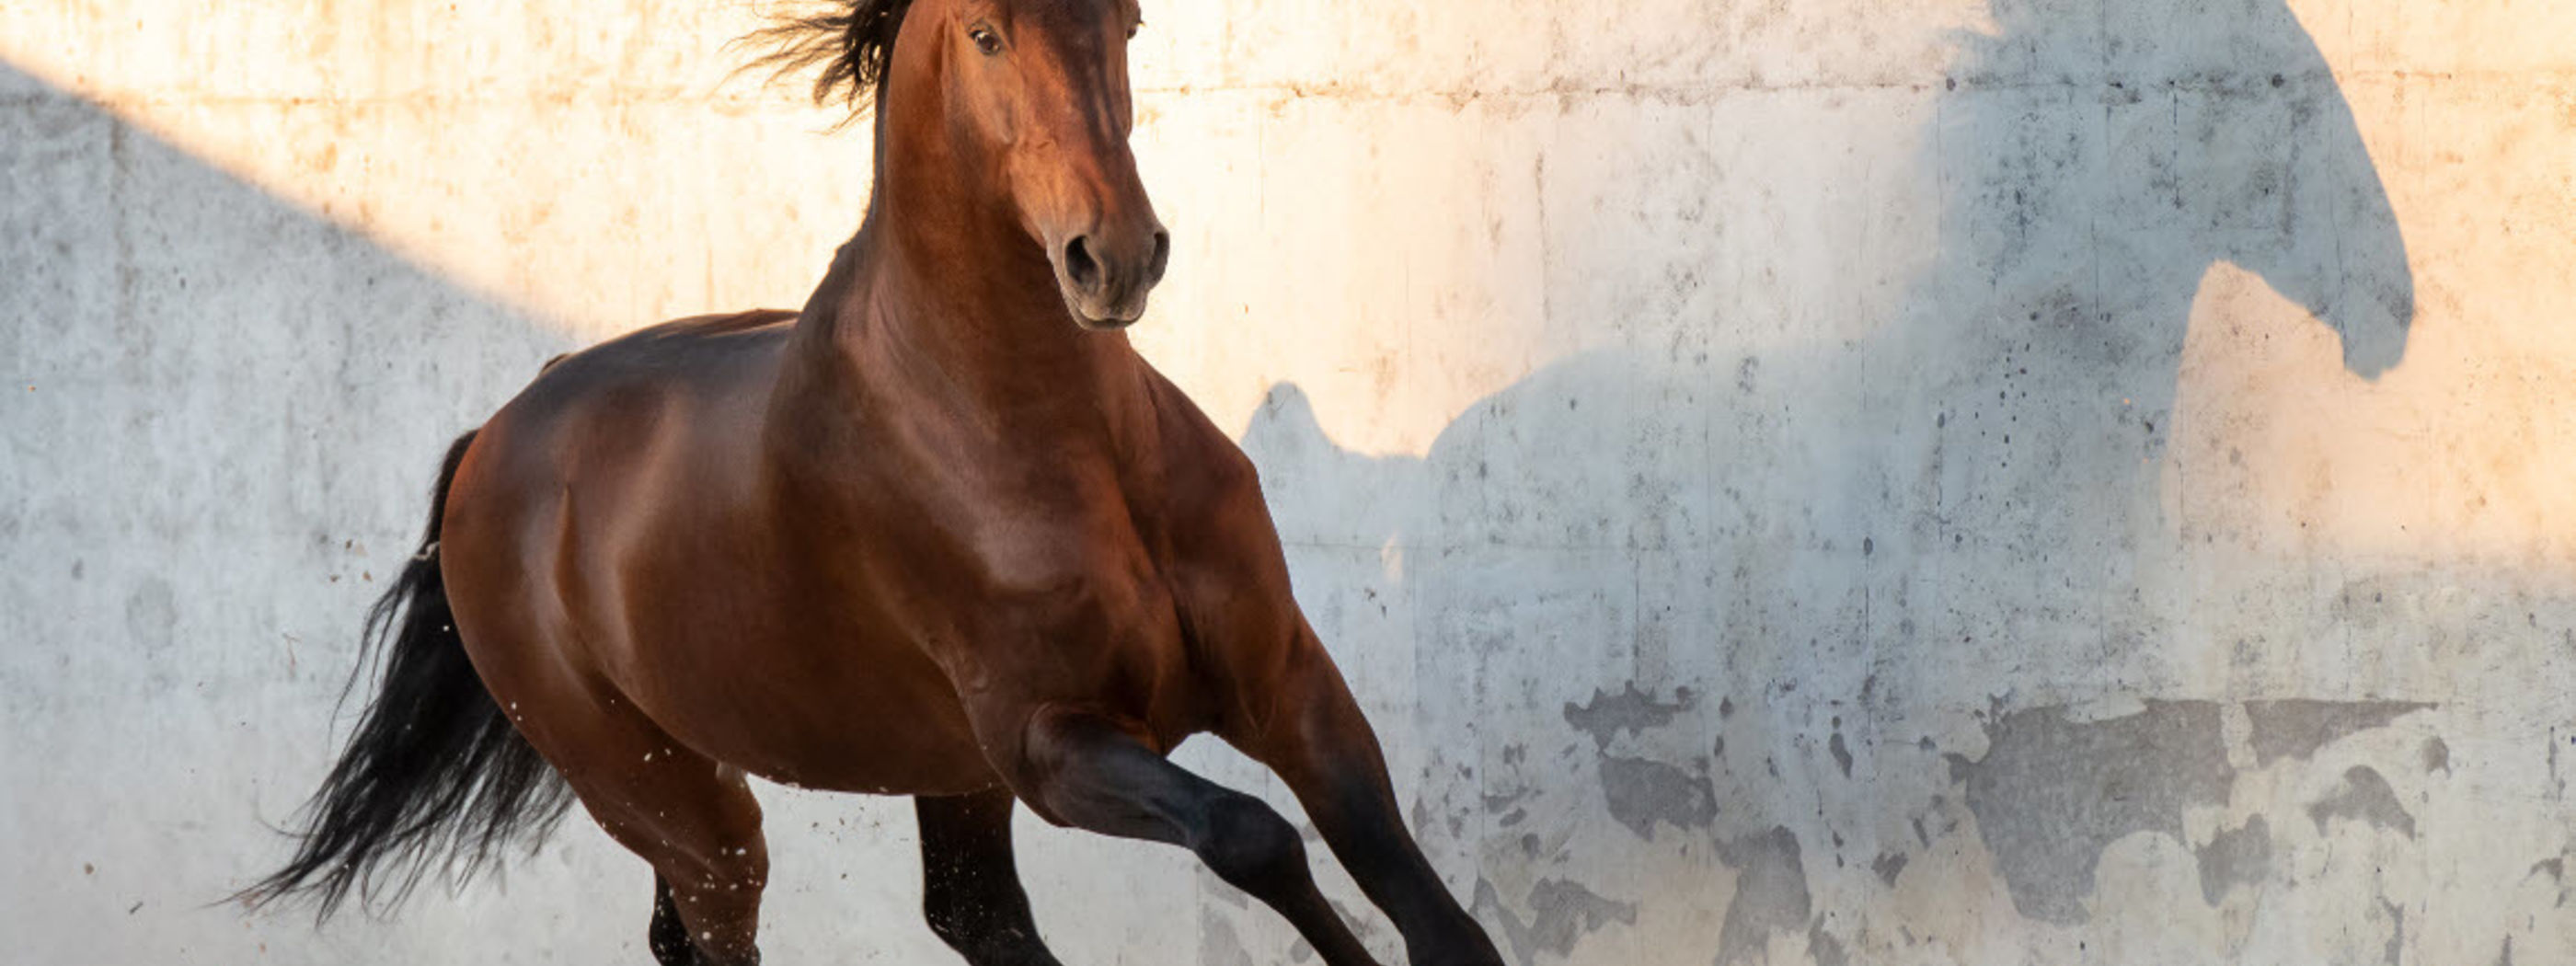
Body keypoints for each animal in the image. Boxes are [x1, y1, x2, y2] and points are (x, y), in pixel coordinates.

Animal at [236, 2, 1504, 966]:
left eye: (1129, 20)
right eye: (987, 34)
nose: (1114, 257)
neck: (1064, 441)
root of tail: (494, 441)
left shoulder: (1285, 680)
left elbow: (1413, 891)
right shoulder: (1053, 745)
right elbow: (1252, 837)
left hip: (932, 774)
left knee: (968, 919)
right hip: (678, 804)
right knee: (723, 926)